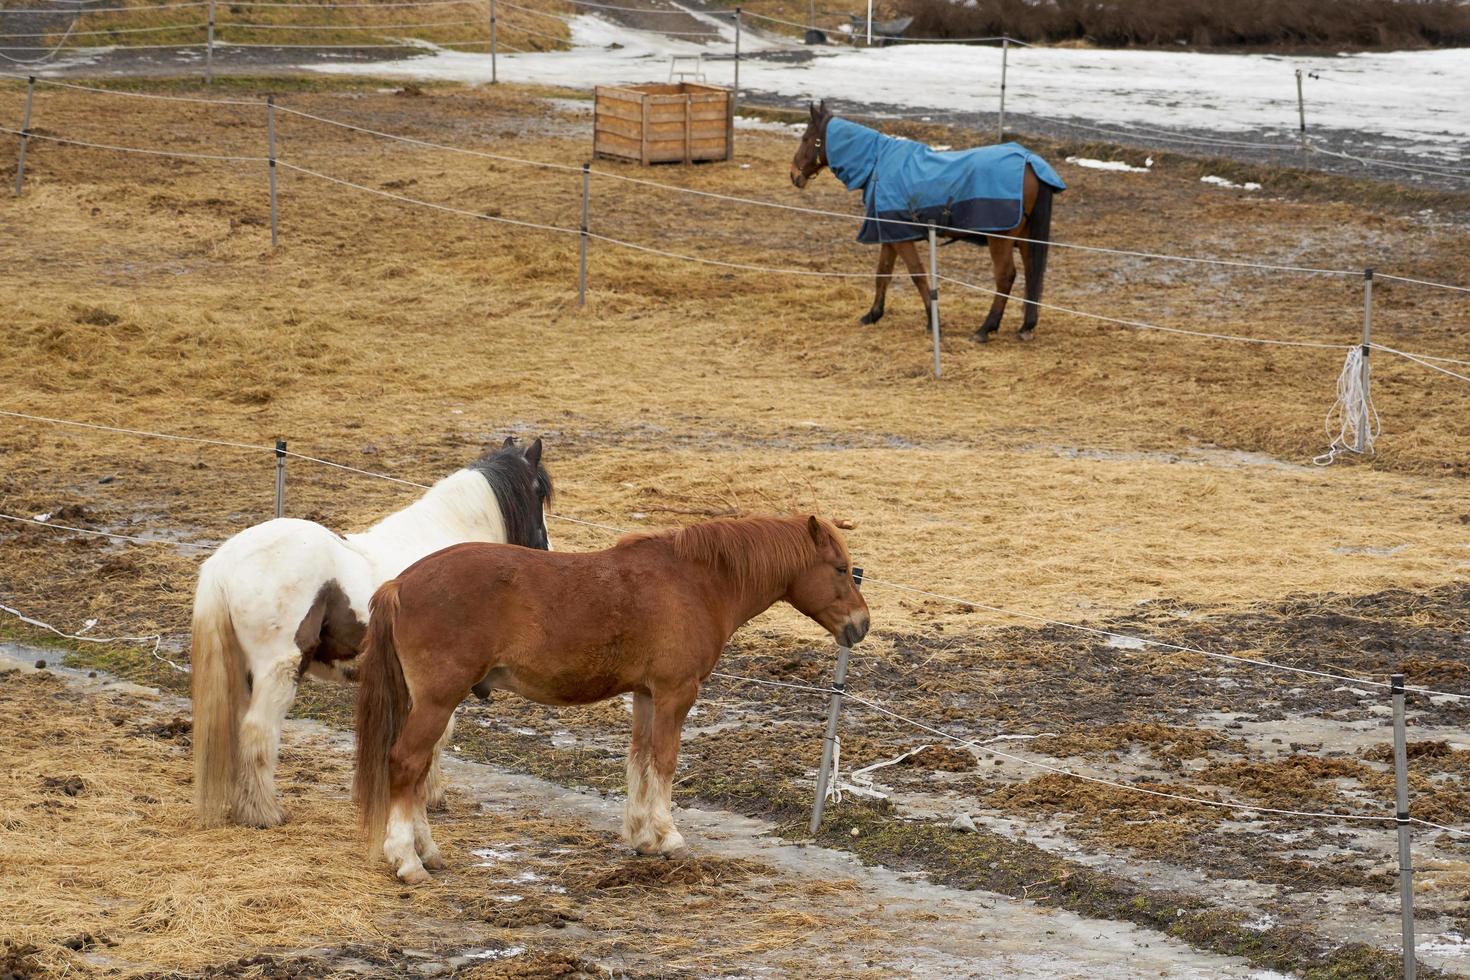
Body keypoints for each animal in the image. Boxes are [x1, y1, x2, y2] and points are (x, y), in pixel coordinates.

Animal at [189, 437, 546, 828]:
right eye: (540, 493)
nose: (544, 550)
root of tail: (226, 559)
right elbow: (437, 737)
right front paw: (428, 797)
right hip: (278, 671)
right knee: (258, 731)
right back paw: (265, 813)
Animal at [351, 514, 864, 881]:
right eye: (841, 570)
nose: (861, 625)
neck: (695, 582)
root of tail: (400, 584)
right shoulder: (676, 692)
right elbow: (665, 761)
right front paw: (668, 836)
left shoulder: (646, 695)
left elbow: (639, 759)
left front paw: (641, 837)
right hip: (437, 703)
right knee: (406, 765)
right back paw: (407, 861)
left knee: (418, 773)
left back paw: (428, 853)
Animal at [787, 100, 1064, 345]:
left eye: (806, 139)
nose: (794, 175)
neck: (878, 164)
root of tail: (1030, 161)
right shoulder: (891, 235)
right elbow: (882, 274)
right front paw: (873, 314)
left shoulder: (902, 239)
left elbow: (918, 275)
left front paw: (933, 321)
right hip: (1025, 239)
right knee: (1031, 274)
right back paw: (1026, 327)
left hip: (1000, 240)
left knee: (1006, 277)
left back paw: (985, 329)